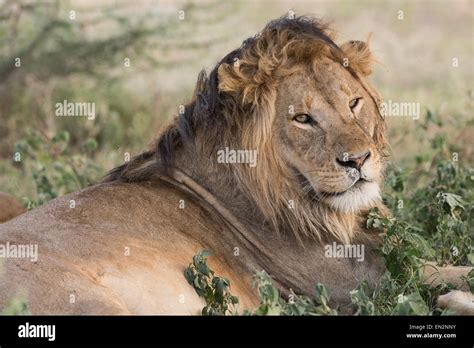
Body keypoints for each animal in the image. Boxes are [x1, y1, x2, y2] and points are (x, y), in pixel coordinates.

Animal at [0, 16, 470, 316]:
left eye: (353, 103)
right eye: (303, 118)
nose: (358, 160)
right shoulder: (359, 283)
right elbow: (455, 271)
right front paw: (453, 296)